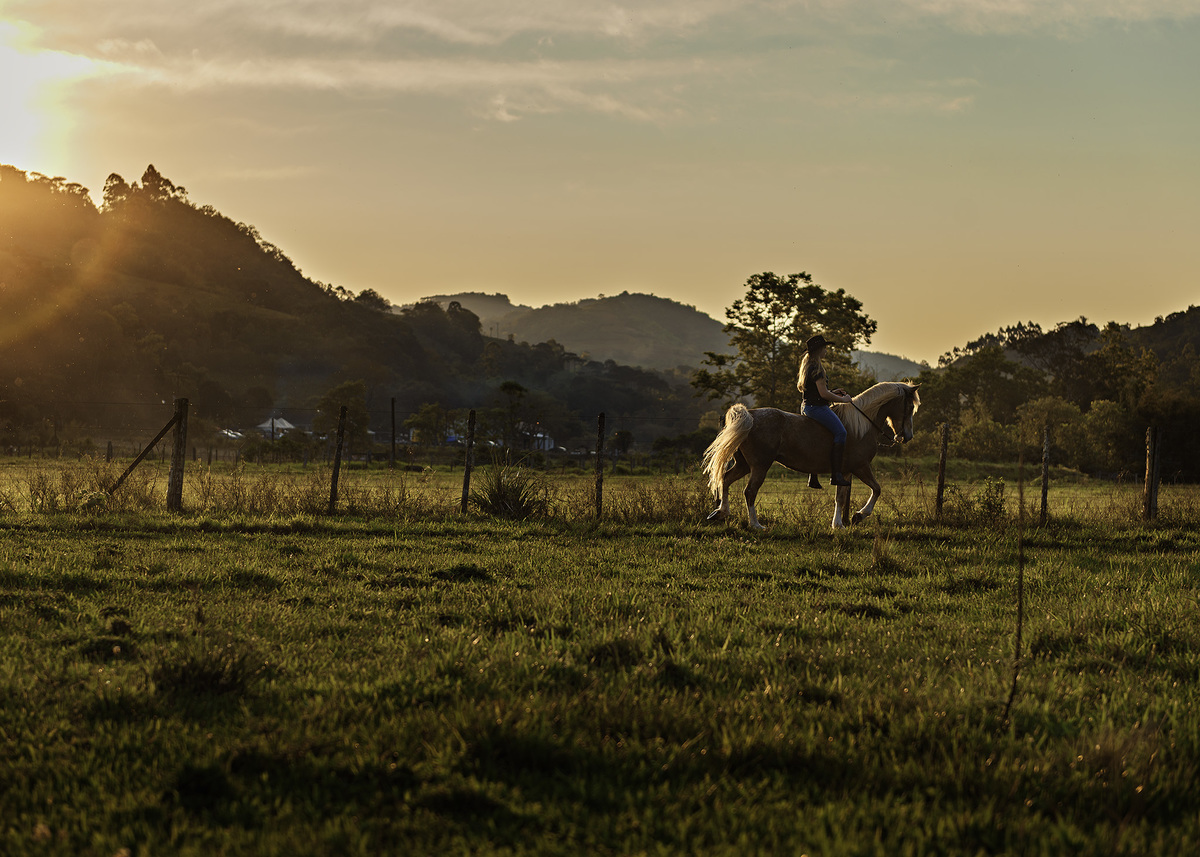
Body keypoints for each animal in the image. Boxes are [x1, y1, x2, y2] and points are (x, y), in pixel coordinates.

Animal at [702, 382, 920, 530]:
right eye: (910, 407)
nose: (908, 436)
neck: (861, 425)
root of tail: (751, 416)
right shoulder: (860, 467)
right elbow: (877, 489)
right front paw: (859, 515)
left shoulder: (845, 472)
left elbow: (840, 498)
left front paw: (838, 524)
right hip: (760, 466)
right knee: (749, 491)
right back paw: (756, 525)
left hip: (744, 465)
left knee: (726, 479)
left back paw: (721, 512)